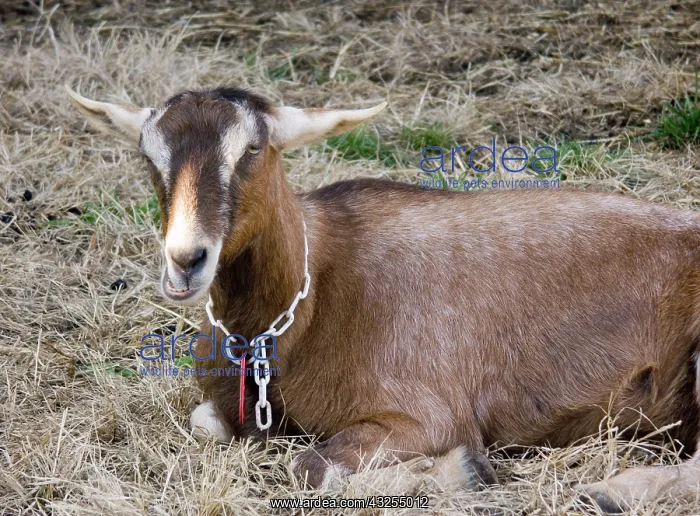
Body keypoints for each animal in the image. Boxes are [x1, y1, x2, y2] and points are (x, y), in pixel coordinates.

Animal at [68, 84, 700, 512]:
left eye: (251, 149)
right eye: (149, 156)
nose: (186, 259)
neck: (311, 300)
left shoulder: (425, 414)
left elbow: (311, 466)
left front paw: (464, 472)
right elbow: (206, 423)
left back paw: (611, 491)